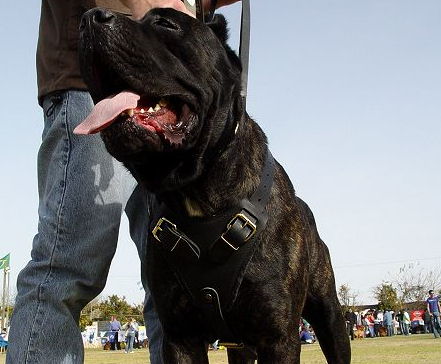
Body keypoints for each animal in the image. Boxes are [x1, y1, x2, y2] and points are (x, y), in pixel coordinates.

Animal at [76, 6, 350, 364]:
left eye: (165, 23)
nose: (89, 17)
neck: (194, 191)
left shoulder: (278, 337)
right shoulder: (180, 338)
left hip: (329, 317)